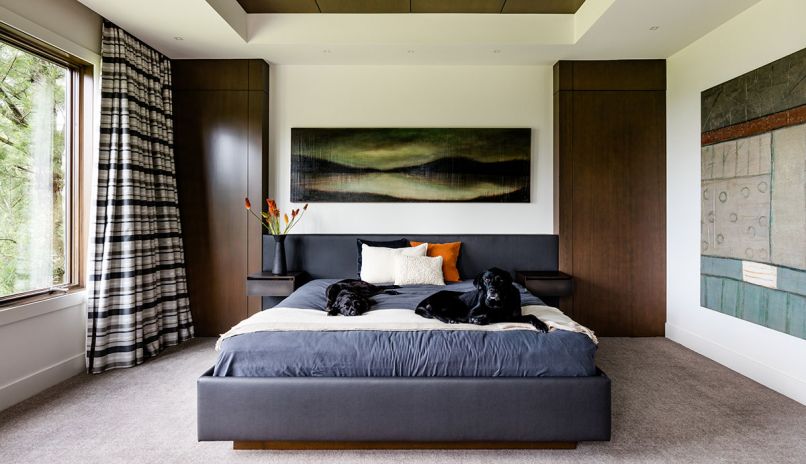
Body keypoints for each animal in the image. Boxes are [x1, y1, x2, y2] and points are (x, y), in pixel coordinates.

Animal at [416, 266, 548, 332]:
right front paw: (479, 319)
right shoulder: (472, 312)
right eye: (486, 279)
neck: (499, 303)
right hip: (452, 301)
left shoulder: (514, 316)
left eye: (501, 280)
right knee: (434, 311)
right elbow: (492, 315)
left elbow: (531, 315)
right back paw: (450, 319)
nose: (492, 291)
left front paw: (541, 325)